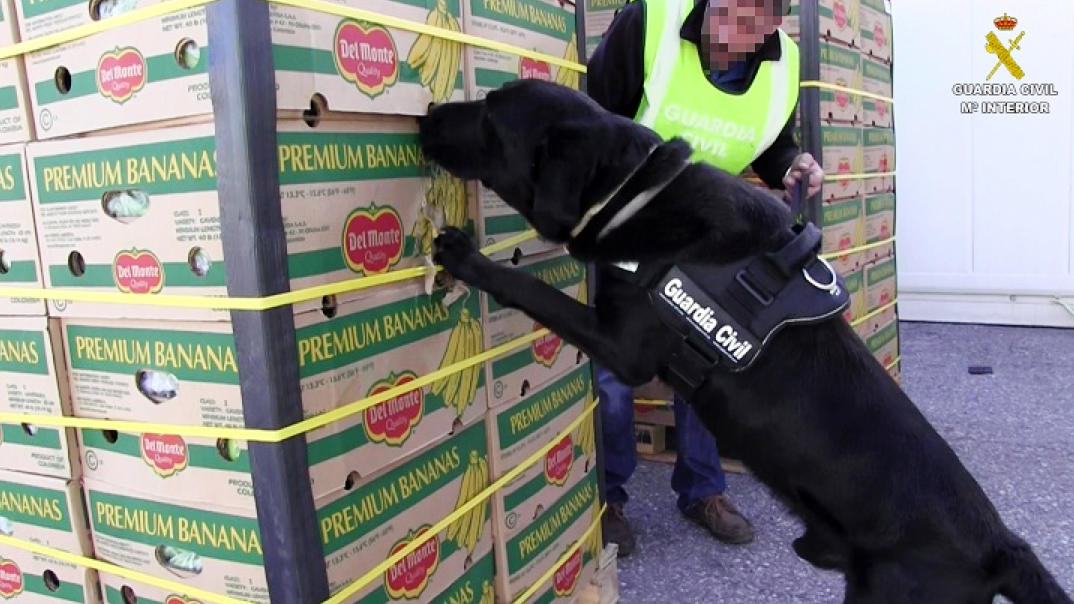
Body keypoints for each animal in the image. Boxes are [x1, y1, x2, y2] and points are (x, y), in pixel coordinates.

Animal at [414, 80, 1069, 601]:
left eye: (491, 115)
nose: (426, 113)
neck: (636, 192)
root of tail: (1001, 548)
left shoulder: (624, 345)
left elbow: (532, 289)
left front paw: (466, 258)